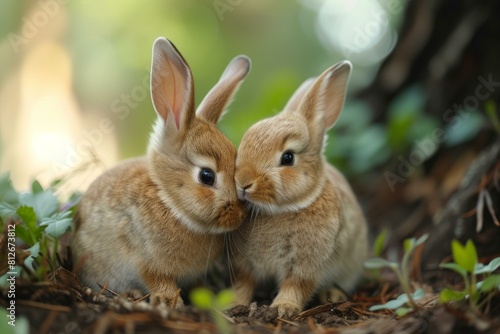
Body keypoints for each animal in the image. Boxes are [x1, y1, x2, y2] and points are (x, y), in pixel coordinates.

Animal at [70, 37, 250, 308]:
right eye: (207, 176)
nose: (238, 216)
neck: (169, 202)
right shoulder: (144, 259)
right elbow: (157, 279)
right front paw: (169, 301)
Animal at [230, 60, 368, 318]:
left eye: (288, 158)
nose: (242, 182)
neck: (283, 209)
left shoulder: (305, 264)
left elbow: (296, 286)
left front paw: (283, 308)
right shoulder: (245, 264)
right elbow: (243, 284)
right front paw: (232, 304)